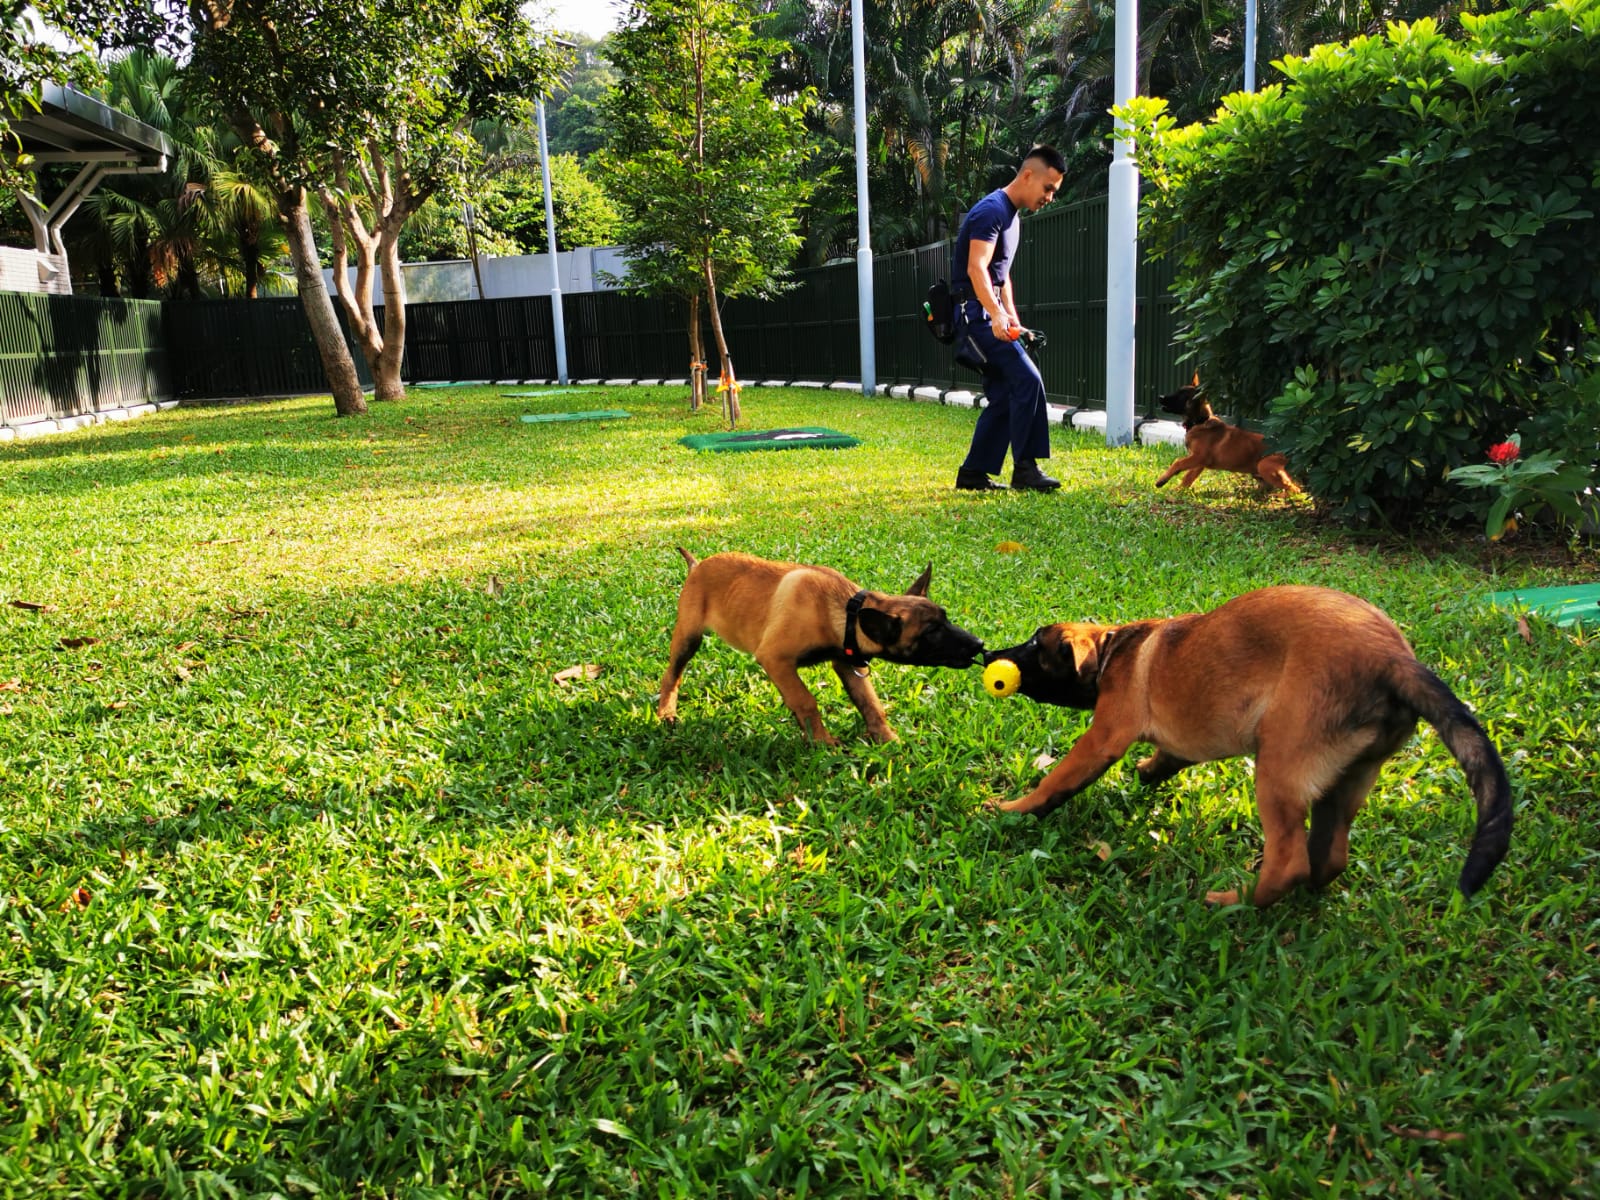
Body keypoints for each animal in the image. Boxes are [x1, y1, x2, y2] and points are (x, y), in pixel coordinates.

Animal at [656, 553, 979, 742]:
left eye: (946, 618)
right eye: (931, 633)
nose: (979, 644)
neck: (845, 610)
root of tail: (697, 565)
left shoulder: (848, 664)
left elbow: (871, 704)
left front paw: (888, 741)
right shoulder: (775, 659)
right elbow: (806, 701)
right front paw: (823, 743)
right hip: (688, 637)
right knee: (671, 675)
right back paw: (666, 712)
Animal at [985, 588, 1510, 908]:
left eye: (1034, 646)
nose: (990, 655)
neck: (1116, 647)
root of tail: (1394, 660)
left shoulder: (1105, 734)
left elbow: (1058, 779)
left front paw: (1013, 809)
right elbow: (1169, 757)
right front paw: (1147, 773)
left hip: (1278, 767)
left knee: (1288, 861)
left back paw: (1234, 901)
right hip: (1351, 776)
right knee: (1328, 856)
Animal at [1164, 374, 1299, 489]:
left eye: (1181, 396)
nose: (1161, 397)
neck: (1200, 422)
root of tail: (1289, 451)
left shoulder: (1199, 457)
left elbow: (1178, 462)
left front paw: (1163, 480)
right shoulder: (1198, 462)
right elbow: (1188, 478)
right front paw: (1178, 491)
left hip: (1264, 466)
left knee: (1295, 489)